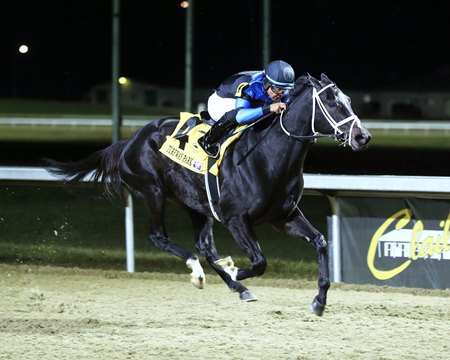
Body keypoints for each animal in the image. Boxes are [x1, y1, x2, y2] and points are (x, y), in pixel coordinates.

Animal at [44, 73, 372, 316]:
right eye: (331, 102)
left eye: (348, 100)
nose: (363, 137)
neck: (267, 158)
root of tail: (130, 140)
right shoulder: (236, 219)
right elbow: (259, 261)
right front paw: (234, 270)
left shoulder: (284, 215)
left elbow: (320, 242)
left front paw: (319, 301)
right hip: (153, 191)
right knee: (160, 237)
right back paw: (201, 272)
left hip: (196, 205)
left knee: (205, 246)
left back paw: (236, 286)